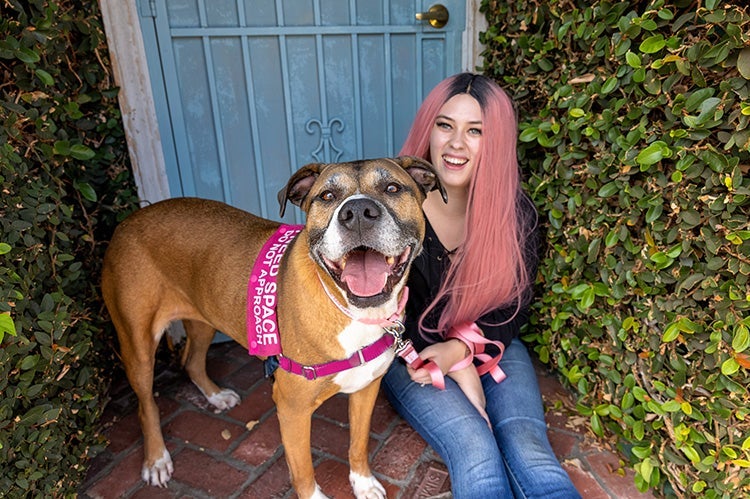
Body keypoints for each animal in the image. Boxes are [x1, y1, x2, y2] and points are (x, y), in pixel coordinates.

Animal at [98, 157, 440, 499]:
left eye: (392, 188)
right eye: (327, 196)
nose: (356, 212)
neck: (351, 310)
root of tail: (130, 219)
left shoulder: (366, 388)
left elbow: (358, 443)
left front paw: (363, 483)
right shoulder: (292, 409)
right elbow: (303, 472)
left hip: (205, 315)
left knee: (192, 362)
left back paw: (215, 396)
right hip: (138, 345)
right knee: (146, 405)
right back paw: (156, 459)